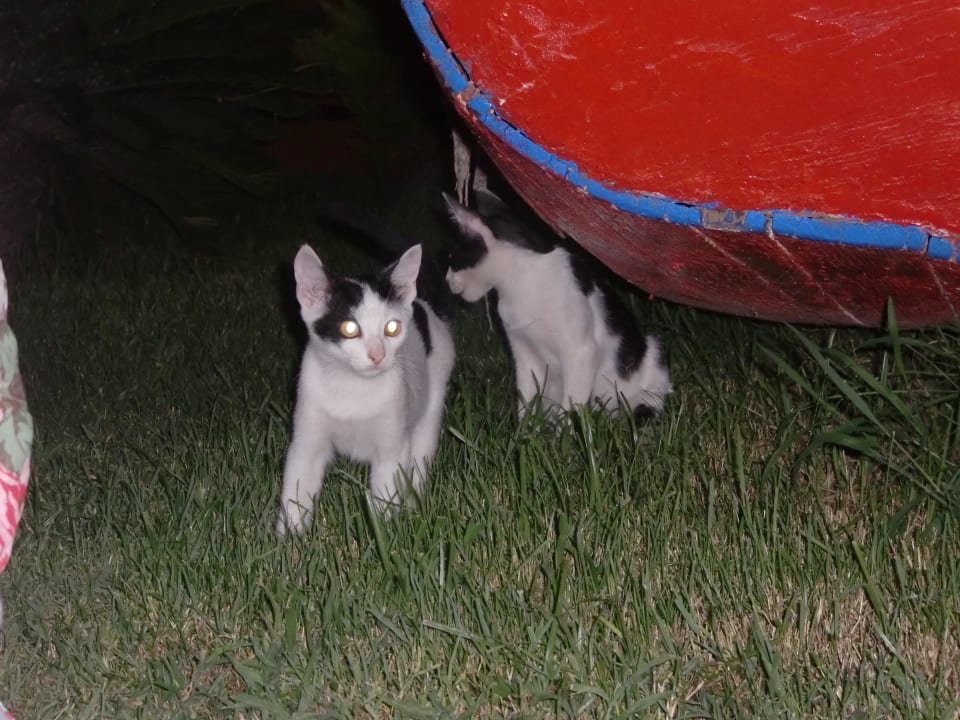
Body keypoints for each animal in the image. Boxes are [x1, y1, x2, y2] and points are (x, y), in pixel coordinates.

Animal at [276, 242, 455, 535]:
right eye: (349, 328)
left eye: (392, 327)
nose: (377, 355)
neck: (353, 388)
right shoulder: (307, 436)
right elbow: (298, 484)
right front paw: (290, 536)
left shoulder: (392, 444)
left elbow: (387, 489)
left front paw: (386, 533)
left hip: (434, 394)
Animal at [443, 189, 671, 418]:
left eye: (452, 257)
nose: (446, 279)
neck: (521, 283)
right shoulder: (523, 350)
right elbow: (526, 398)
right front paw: (525, 426)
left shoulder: (581, 352)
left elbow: (572, 404)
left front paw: (569, 426)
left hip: (653, 350)